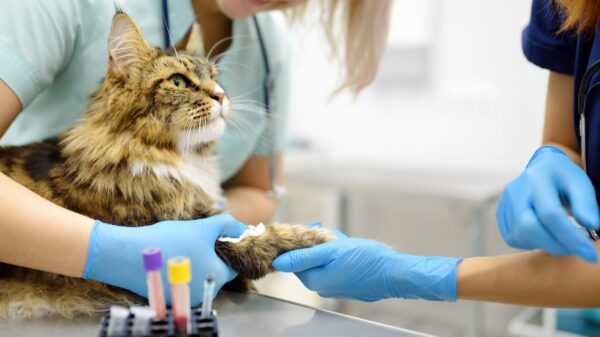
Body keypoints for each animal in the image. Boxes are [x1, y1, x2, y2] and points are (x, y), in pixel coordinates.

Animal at [0, 10, 336, 318]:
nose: (222, 96)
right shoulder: (197, 230)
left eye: (214, 78)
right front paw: (323, 238)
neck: (176, 158)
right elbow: (261, 241)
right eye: (179, 81)